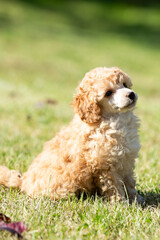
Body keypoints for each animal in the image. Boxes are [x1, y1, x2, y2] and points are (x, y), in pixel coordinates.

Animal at [0, 67, 144, 202]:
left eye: (124, 84)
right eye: (108, 93)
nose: (131, 94)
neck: (115, 119)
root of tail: (23, 181)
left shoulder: (127, 161)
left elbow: (130, 183)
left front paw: (136, 199)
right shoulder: (105, 166)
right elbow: (114, 187)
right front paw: (121, 203)